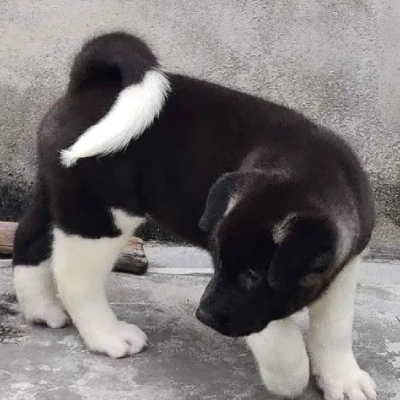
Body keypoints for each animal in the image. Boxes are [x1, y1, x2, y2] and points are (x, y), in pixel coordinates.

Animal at [11, 32, 376, 400]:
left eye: (253, 276)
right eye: (221, 263)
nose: (204, 315)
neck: (317, 174)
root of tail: (88, 87)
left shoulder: (345, 267)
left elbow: (335, 329)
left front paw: (343, 379)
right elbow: (276, 334)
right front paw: (290, 375)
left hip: (60, 194)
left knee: (29, 239)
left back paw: (42, 309)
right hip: (101, 215)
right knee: (75, 276)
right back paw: (109, 336)